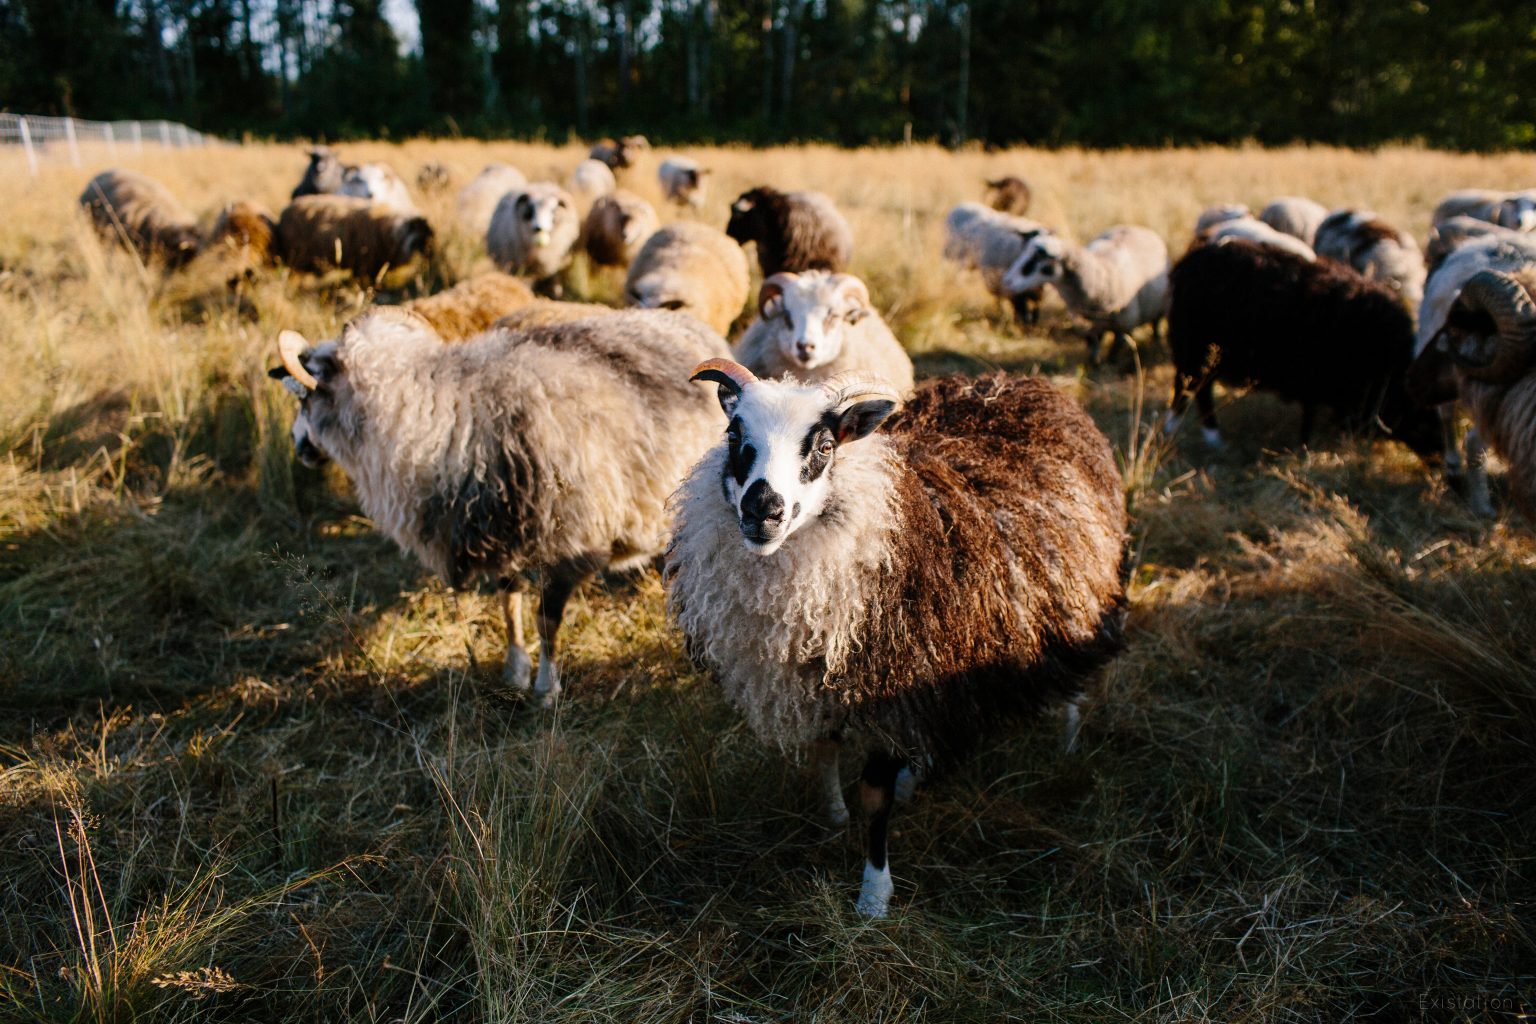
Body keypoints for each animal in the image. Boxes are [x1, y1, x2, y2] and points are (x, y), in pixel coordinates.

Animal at [269, 306, 729, 706]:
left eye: (304, 400)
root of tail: (685, 321)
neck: (440, 418)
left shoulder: (568, 542)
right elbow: (510, 604)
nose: (296, 444)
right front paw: (515, 669)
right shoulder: (502, 531)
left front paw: (545, 689)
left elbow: (547, 618)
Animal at [273, 194, 433, 281]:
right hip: (296, 258)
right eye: (418, 235)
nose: (427, 253)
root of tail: (285, 211)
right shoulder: (363, 264)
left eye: (426, 235)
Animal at [665, 362, 1128, 917]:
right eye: (735, 437)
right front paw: (833, 815)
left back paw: (1068, 741)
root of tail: (1021, 381)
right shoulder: (820, 677)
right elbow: (823, 750)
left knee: (1076, 672)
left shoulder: (896, 684)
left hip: (1076, 598)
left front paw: (873, 894)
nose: (763, 509)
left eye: (825, 446)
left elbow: (874, 795)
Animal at [1002, 225, 1170, 365]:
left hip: (1159, 308)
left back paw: (1157, 341)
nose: (1007, 282)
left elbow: (1115, 349)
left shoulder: (1124, 325)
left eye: (1037, 259)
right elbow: (1093, 345)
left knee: (1156, 325)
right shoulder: (1085, 325)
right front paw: (1094, 364)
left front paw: (1109, 363)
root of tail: (1135, 227)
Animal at [1165, 239, 1441, 458]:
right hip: (1194, 349)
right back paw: (1199, 436)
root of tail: (1188, 262)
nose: (1439, 460)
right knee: (1190, 391)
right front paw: (1305, 451)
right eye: (1420, 418)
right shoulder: (1313, 381)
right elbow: (1309, 418)